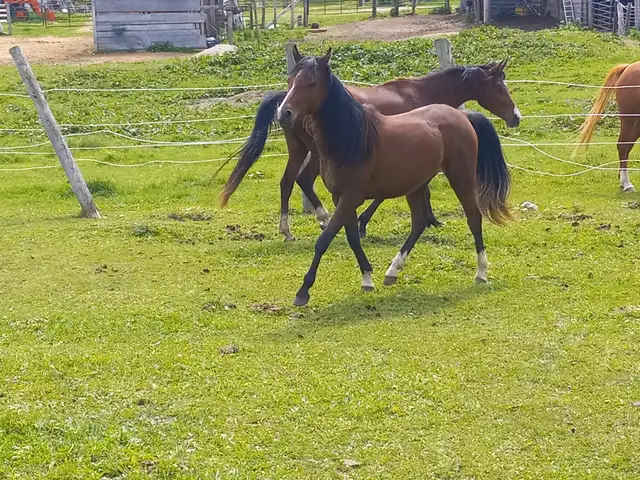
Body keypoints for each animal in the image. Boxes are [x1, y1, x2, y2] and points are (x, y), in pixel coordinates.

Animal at [220, 45, 521, 241]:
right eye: (500, 87)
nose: (516, 117)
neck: (423, 94)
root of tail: (283, 100)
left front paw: (429, 219)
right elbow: (396, 191)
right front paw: (365, 222)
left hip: (298, 149)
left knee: (287, 182)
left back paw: (287, 230)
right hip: (316, 154)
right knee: (302, 179)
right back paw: (324, 219)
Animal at [272, 49, 513, 307]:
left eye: (312, 82)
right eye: (290, 81)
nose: (284, 113)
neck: (353, 139)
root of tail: (462, 116)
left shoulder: (351, 197)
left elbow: (324, 240)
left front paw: (303, 291)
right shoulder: (341, 198)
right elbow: (352, 237)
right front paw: (367, 277)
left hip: (461, 176)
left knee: (473, 217)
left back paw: (481, 272)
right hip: (417, 184)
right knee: (419, 221)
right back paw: (393, 270)